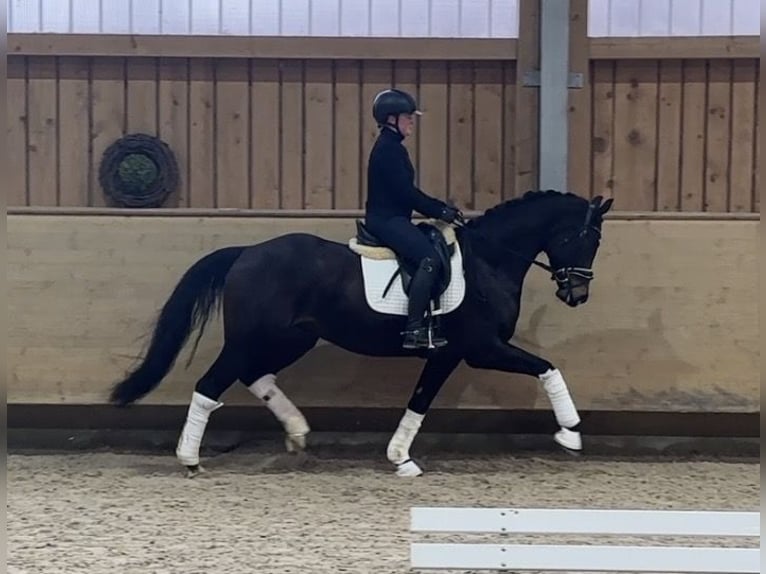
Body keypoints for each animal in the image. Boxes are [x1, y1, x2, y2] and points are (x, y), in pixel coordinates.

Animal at [109, 189, 614, 477]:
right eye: (587, 238)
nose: (578, 294)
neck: (489, 261)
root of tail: (247, 252)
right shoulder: (481, 349)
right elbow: (547, 368)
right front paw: (571, 434)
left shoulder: (446, 354)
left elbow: (419, 402)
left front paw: (400, 458)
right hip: (252, 340)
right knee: (210, 385)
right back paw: (190, 460)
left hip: (291, 339)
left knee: (255, 377)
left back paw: (297, 433)